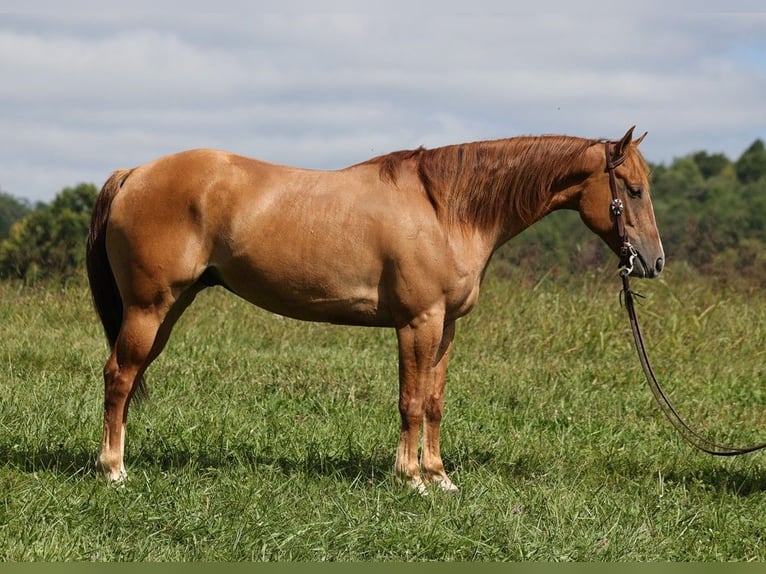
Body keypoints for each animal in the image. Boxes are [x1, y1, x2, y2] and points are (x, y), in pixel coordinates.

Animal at [85, 126, 664, 496]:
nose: (653, 261)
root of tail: (132, 173)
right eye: (633, 190)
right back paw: (113, 470)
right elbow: (410, 402)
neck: (445, 210)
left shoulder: (446, 328)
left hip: (167, 309)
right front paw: (411, 480)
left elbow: (434, 402)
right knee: (118, 376)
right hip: (149, 307)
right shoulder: (417, 323)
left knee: (128, 379)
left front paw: (440, 477)